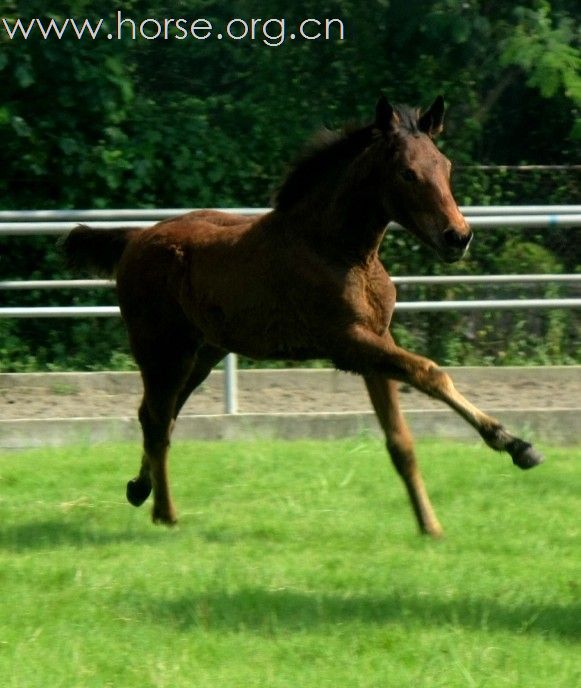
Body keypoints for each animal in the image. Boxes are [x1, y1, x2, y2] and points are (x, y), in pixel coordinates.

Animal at [61, 95, 540, 536]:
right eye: (407, 172)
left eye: (446, 165)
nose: (457, 236)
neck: (338, 249)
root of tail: (135, 238)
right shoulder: (349, 342)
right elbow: (430, 373)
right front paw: (515, 444)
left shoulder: (376, 344)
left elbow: (400, 441)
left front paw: (431, 525)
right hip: (162, 351)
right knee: (158, 420)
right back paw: (165, 513)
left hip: (202, 354)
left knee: (160, 413)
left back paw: (139, 489)